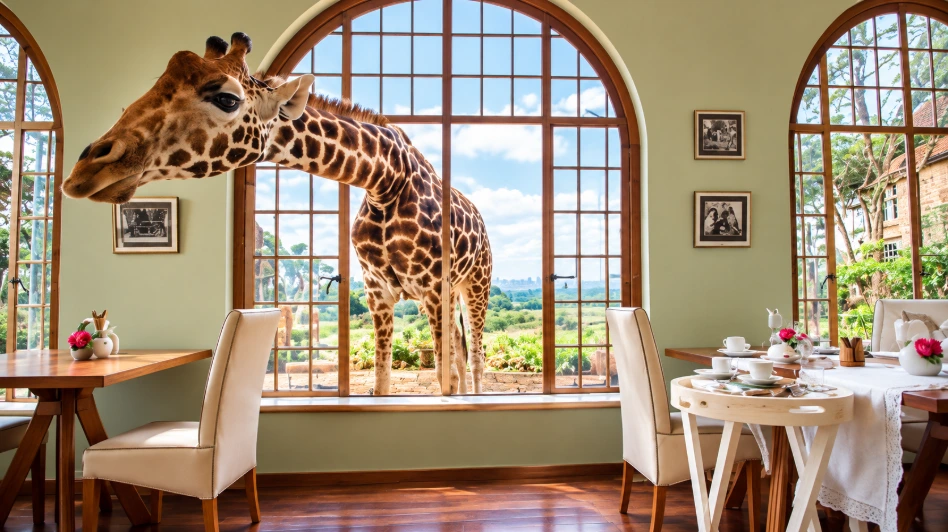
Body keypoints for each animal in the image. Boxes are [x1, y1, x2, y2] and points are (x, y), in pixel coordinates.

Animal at [62, 33, 492, 395]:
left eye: (227, 99)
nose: (87, 168)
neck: (385, 182)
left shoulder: (432, 287)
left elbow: (445, 379)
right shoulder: (380, 292)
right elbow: (382, 380)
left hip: (474, 287)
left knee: (474, 358)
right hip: (446, 293)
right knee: (461, 352)